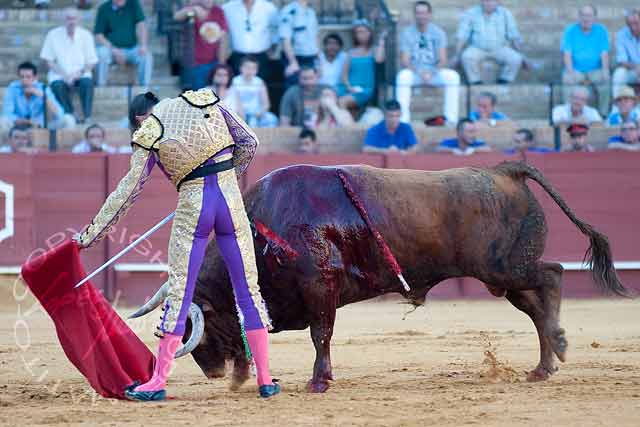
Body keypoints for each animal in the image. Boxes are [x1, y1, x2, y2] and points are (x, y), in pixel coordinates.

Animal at [129, 162, 624, 392]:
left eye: (194, 327)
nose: (211, 373)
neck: (265, 226)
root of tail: (505, 169)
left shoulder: (319, 287)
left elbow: (321, 335)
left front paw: (318, 381)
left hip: (504, 267)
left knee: (552, 276)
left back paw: (560, 345)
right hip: (502, 277)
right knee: (537, 305)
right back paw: (542, 367)